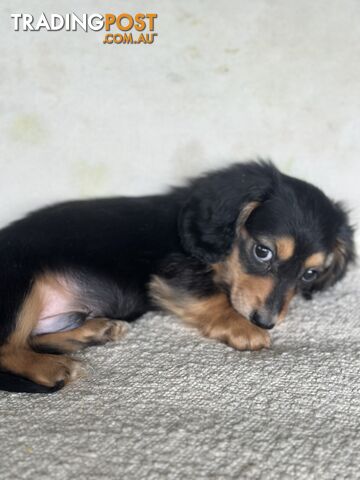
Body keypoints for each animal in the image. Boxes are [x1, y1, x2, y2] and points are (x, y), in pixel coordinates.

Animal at [0, 159, 354, 392]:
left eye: (309, 274)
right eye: (262, 251)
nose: (266, 321)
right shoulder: (174, 271)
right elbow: (212, 296)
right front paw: (243, 328)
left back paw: (94, 332)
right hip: (20, 281)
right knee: (8, 347)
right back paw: (53, 366)